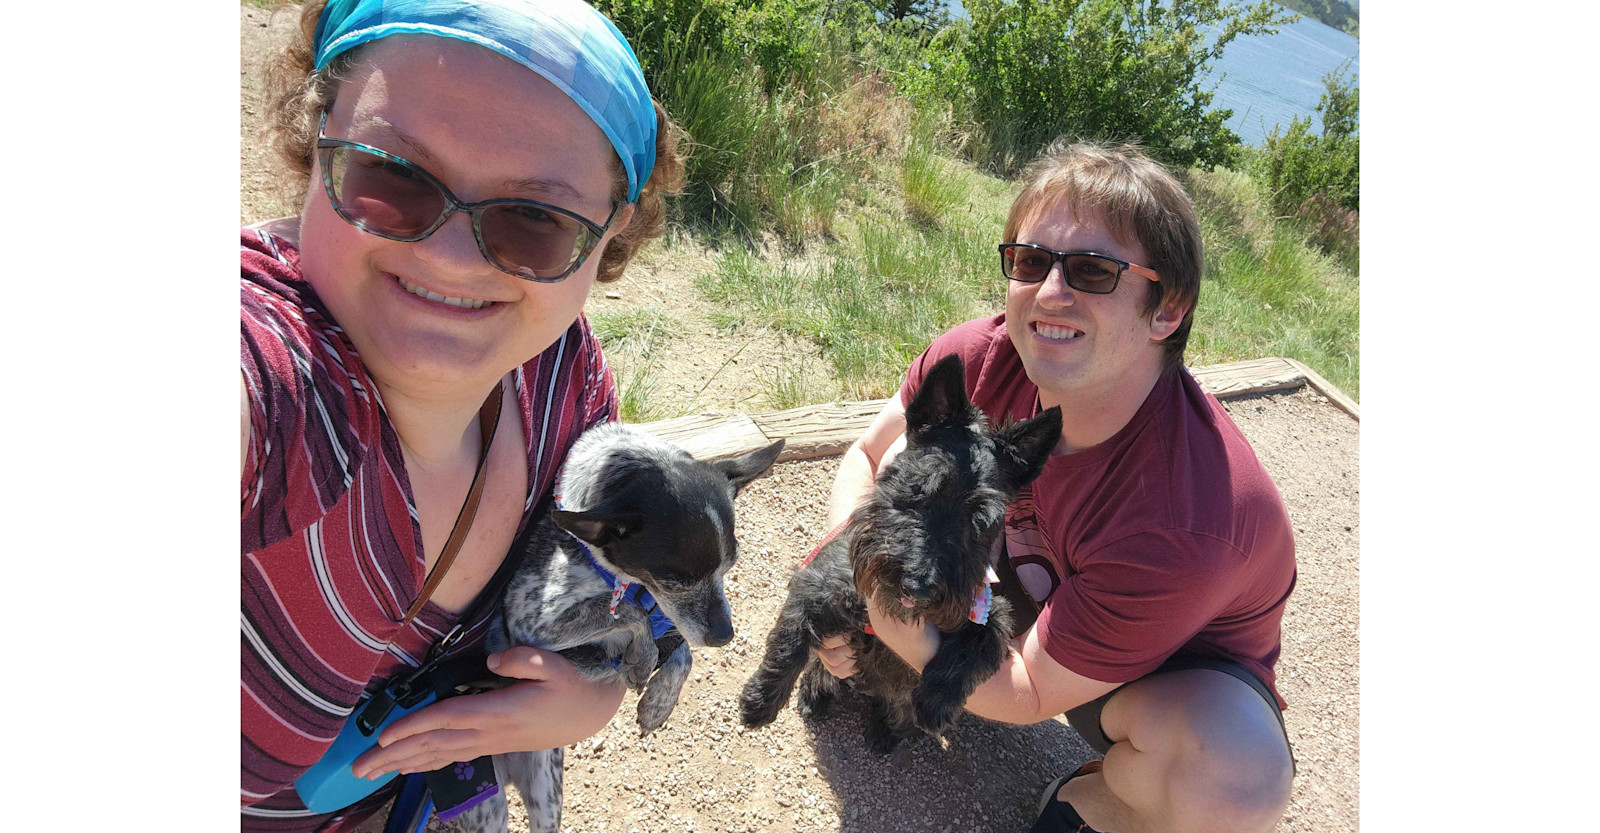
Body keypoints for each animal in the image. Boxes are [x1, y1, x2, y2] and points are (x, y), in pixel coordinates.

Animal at [739, 353, 1062, 751]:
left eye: (981, 521)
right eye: (918, 487)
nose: (919, 586)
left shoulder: (989, 611)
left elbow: (978, 644)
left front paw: (936, 701)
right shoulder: (817, 584)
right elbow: (788, 640)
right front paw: (761, 700)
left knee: (896, 707)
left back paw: (886, 730)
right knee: (820, 668)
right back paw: (817, 693)